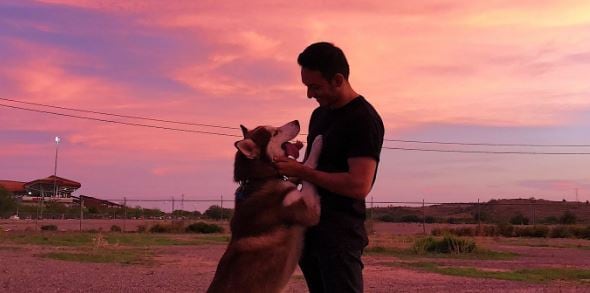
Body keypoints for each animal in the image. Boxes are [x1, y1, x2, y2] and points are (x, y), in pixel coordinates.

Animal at [208, 119, 324, 292]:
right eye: (275, 133)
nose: (296, 121)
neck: (261, 180)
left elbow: (299, 173)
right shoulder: (309, 210)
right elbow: (308, 167)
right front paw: (318, 141)